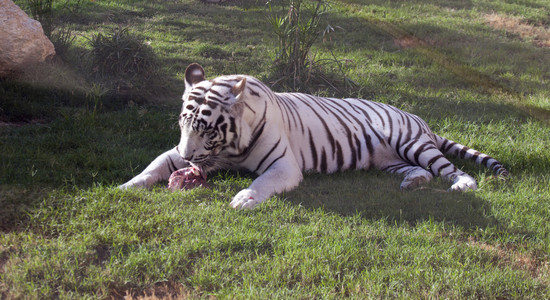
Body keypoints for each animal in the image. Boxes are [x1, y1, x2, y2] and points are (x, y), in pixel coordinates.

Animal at [119, 63, 508, 209]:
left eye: (207, 129)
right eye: (183, 126)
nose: (188, 158)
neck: (229, 147)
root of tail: (417, 117)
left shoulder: (283, 166)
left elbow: (261, 182)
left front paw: (244, 198)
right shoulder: (179, 153)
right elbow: (154, 165)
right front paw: (127, 185)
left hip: (410, 144)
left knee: (448, 168)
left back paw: (462, 184)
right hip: (390, 161)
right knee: (421, 172)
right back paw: (412, 184)